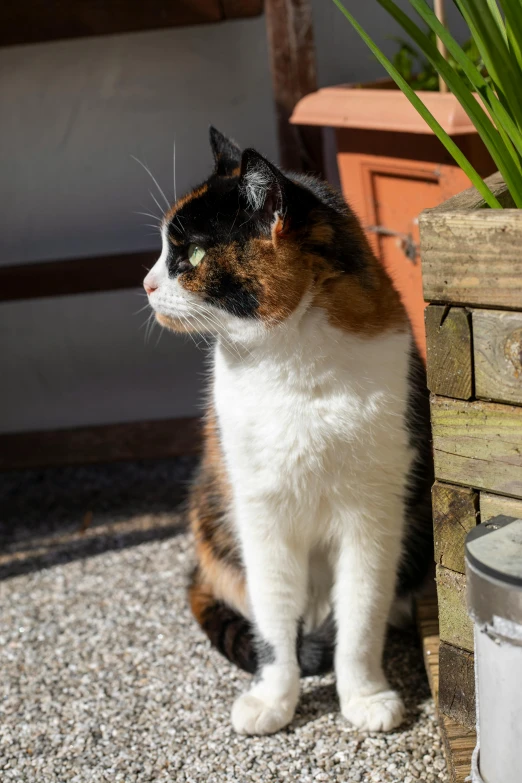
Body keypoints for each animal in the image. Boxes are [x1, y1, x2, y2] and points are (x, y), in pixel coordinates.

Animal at [142, 127, 430, 736]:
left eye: (191, 253)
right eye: (161, 250)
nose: (147, 283)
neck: (290, 366)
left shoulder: (373, 515)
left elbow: (361, 614)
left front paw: (365, 696)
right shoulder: (261, 512)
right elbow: (275, 619)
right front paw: (273, 699)